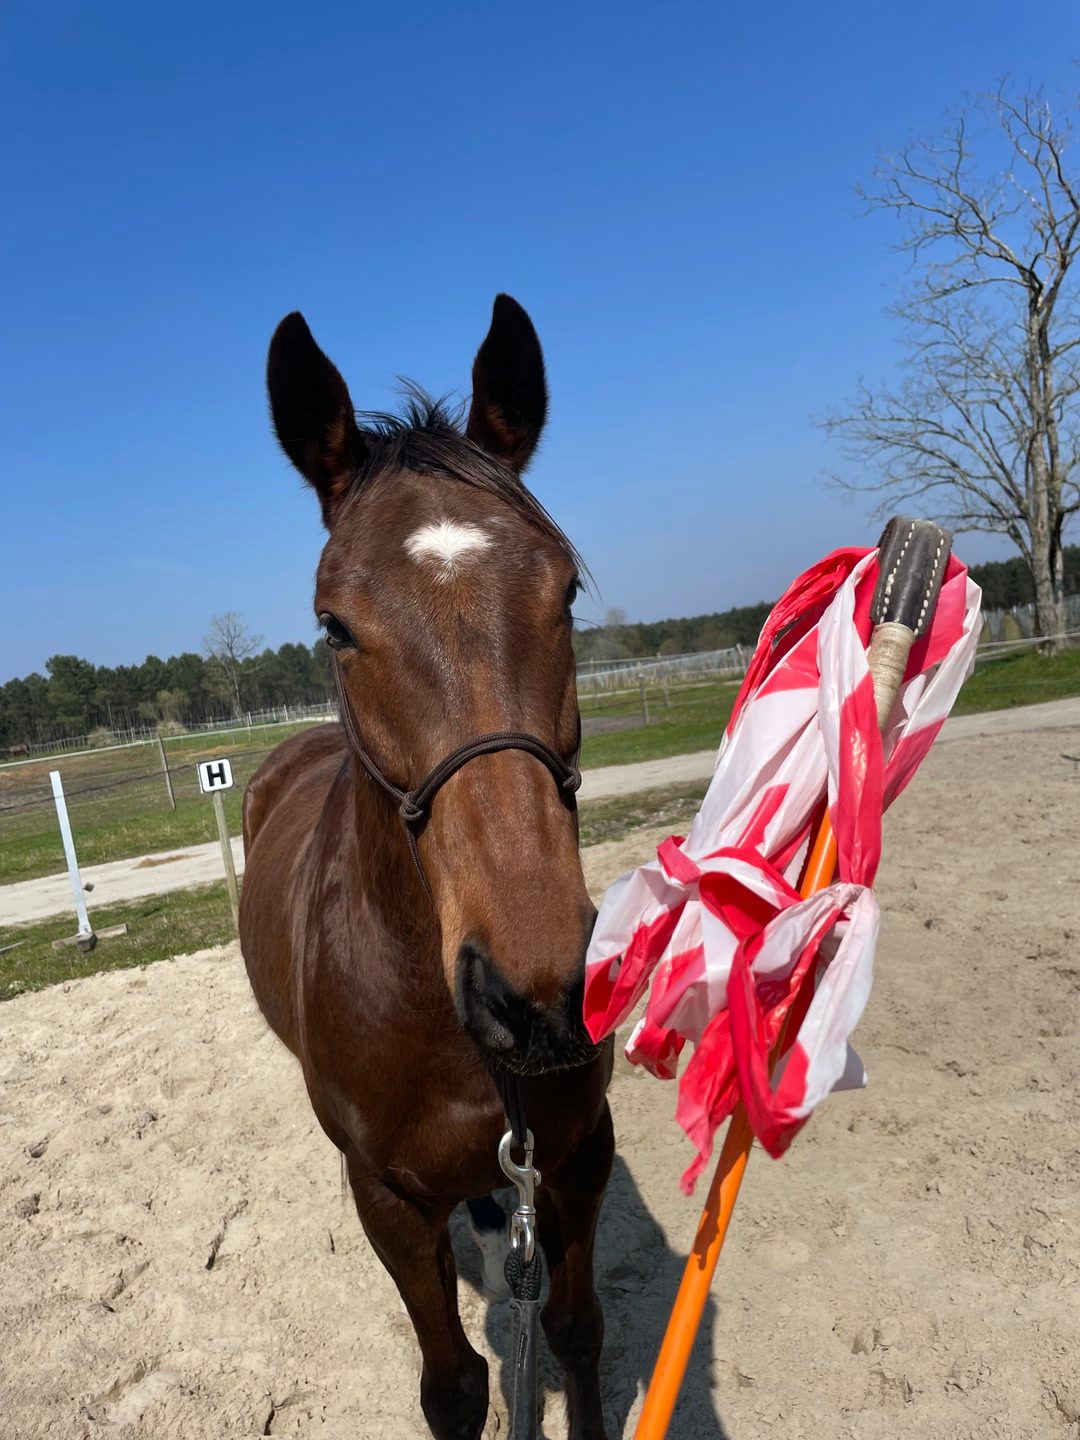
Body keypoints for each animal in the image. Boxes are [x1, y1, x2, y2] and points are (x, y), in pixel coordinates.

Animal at [239, 294, 614, 1440]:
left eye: (566, 590)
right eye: (334, 623)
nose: (540, 997)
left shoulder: (578, 1158)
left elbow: (577, 1331)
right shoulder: (390, 1206)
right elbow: (452, 1387)